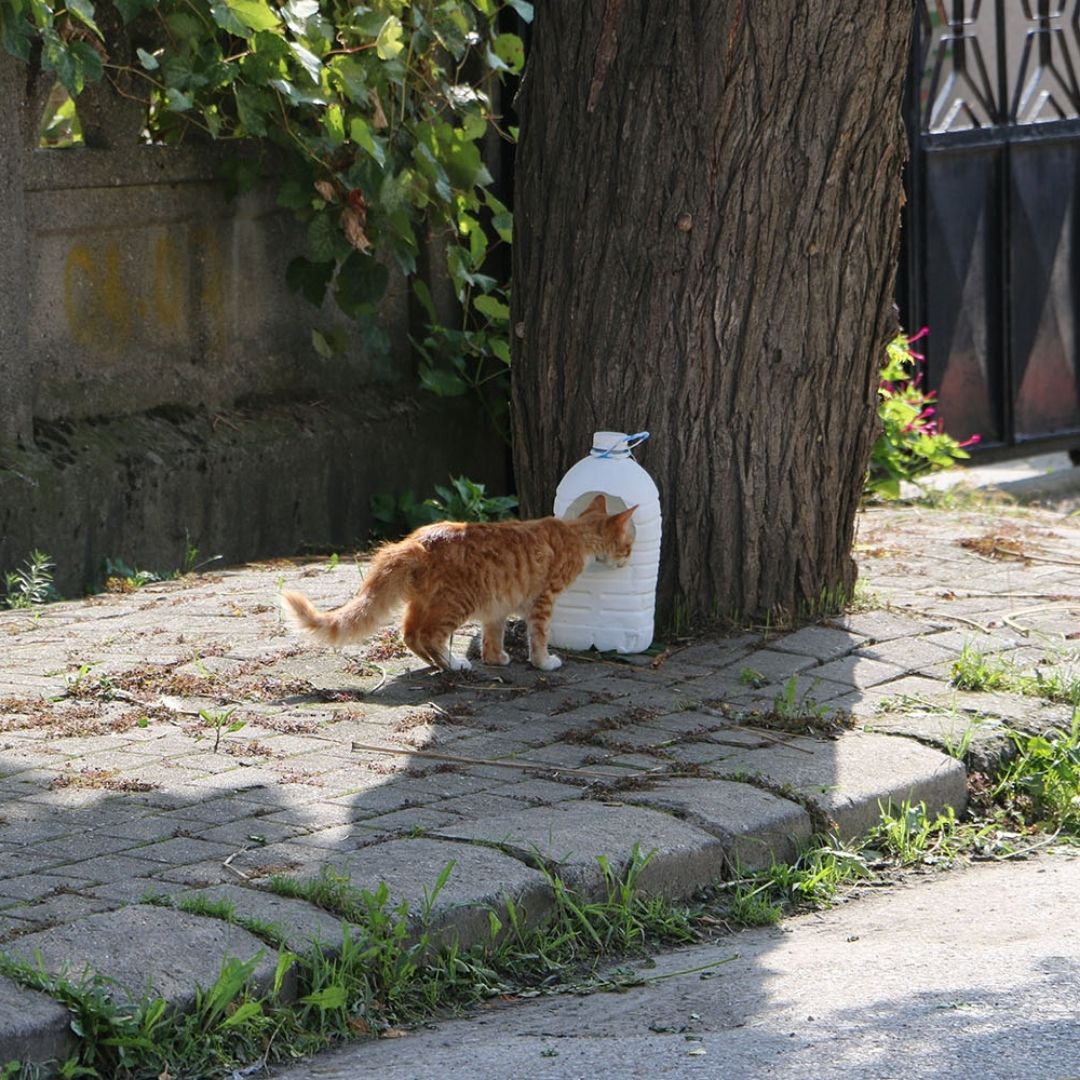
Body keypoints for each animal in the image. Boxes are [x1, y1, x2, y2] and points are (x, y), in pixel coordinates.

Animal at [282, 494, 635, 669]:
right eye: (629, 545)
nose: (628, 560)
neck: (575, 534)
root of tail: (417, 541)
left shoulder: (498, 606)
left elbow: (493, 636)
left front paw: (496, 659)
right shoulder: (542, 602)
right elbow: (539, 637)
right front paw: (543, 662)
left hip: (424, 603)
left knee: (411, 635)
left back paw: (441, 664)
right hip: (456, 603)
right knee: (429, 635)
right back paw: (454, 664)